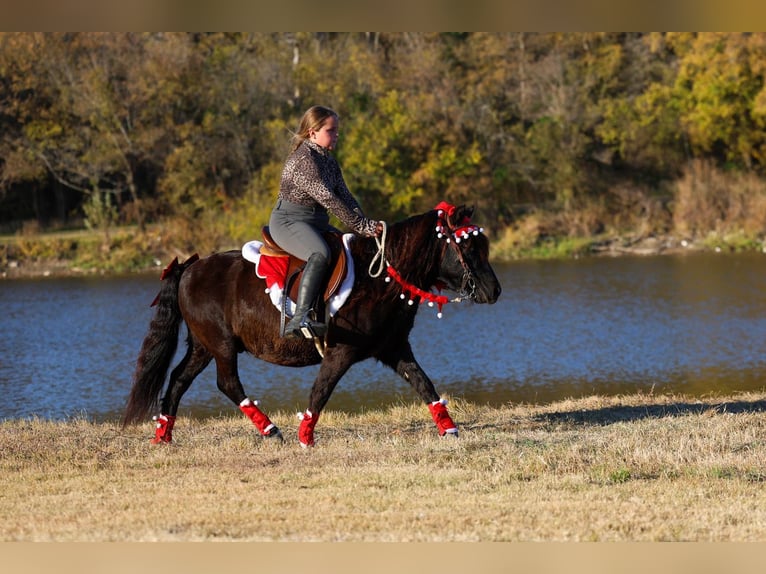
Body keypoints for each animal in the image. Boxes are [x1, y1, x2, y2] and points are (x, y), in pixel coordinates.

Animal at [122, 202, 501, 446]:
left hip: (203, 345)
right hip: (222, 345)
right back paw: (271, 430)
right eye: (468, 248)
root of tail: (189, 268)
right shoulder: (341, 352)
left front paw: (448, 429)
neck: (380, 278)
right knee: (227, 383)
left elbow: (425, 384)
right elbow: (321, 390)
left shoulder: (394, 348)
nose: (494, 290)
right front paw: (306, 436)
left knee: (177, 380)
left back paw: (163, 435)